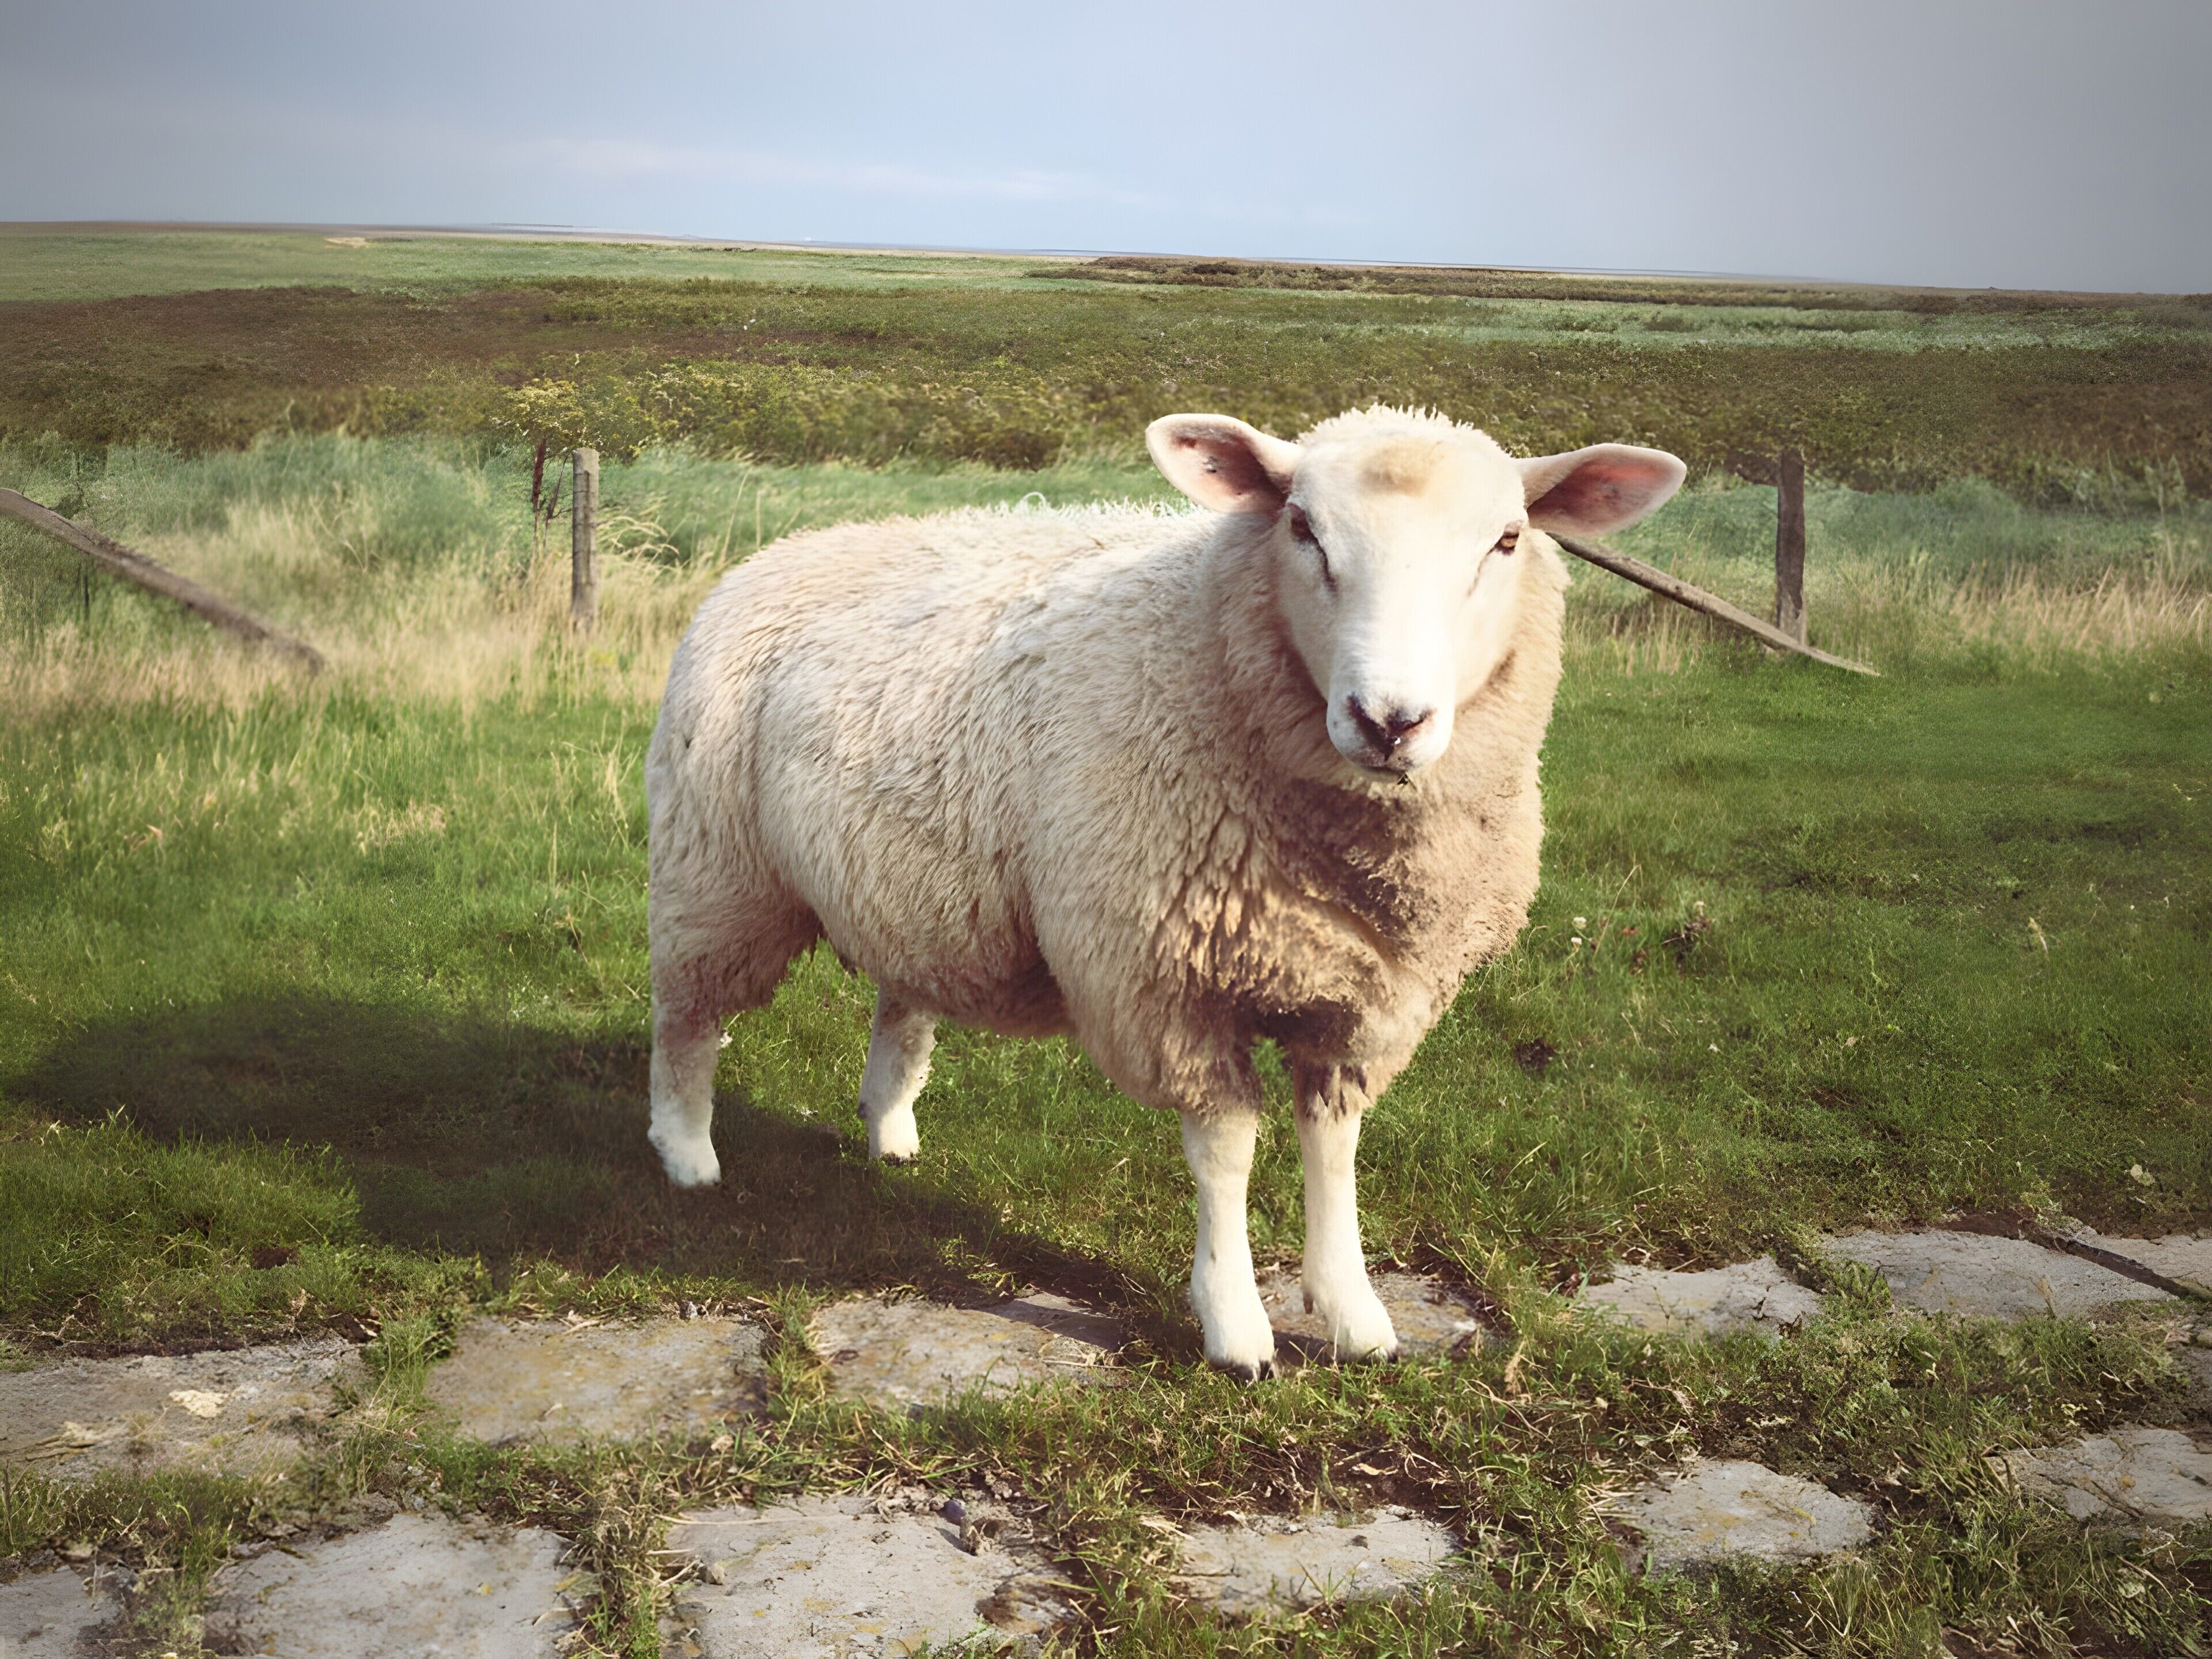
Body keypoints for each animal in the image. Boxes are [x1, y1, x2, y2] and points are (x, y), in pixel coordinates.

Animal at [645, 406, 1685, 1377]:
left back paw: (891, 1130)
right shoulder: (1170, 983)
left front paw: (1353, 1314)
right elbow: (1227, 1150)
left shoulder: (1368, 994)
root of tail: (788, 548)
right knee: (687, 1017)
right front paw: (1236, 1328)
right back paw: (686, 1154)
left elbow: (1334, 1145)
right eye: (1301, 528)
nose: (1389, 721)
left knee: (903, 998)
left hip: (915, 887)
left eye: (1506, 540)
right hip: (716, 869)